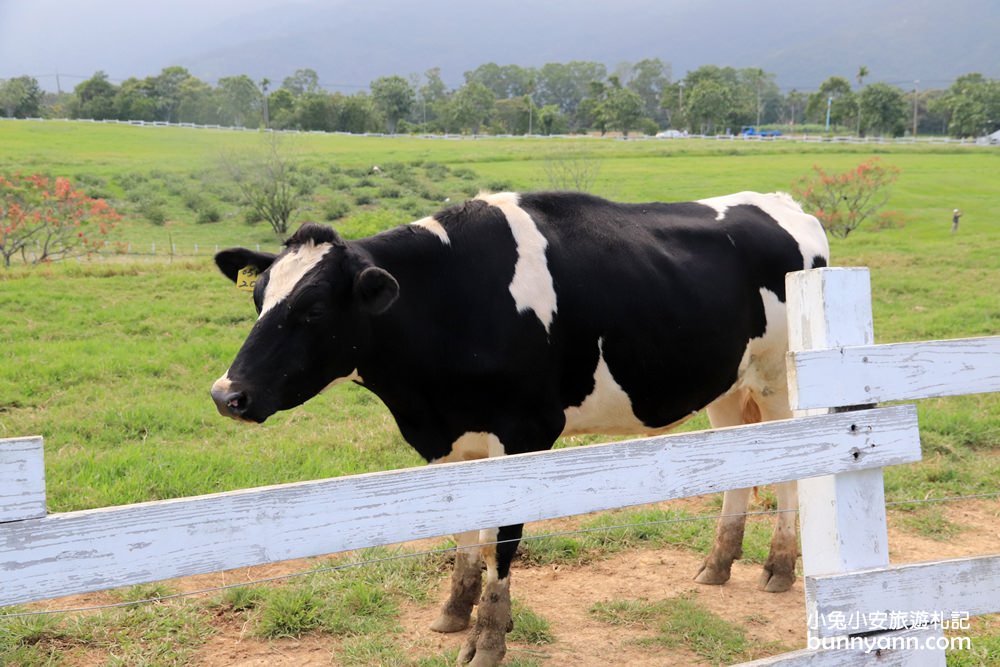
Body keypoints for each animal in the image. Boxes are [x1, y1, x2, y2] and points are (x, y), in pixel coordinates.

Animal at [209, 189, 828, 667]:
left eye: (313, 310)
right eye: (259, 297)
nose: (226, 394)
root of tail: (785, 204)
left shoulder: (525, 433)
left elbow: (499, 543)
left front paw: (489, 637)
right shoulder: (449, 442)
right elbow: (464, 531)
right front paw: (454, 612)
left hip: (778, 383)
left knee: (791, 474)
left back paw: (778, 567)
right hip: (729, 387)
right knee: (741, 470)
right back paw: (718, 565)